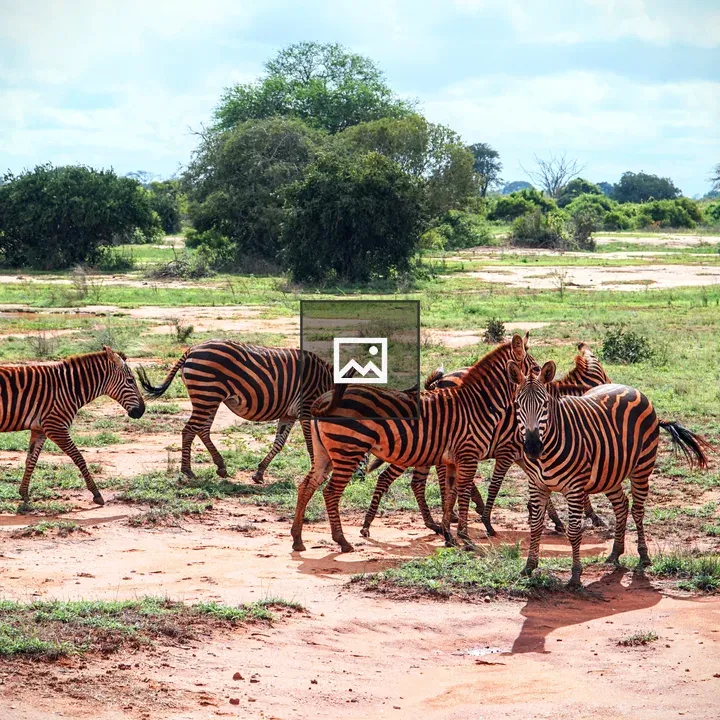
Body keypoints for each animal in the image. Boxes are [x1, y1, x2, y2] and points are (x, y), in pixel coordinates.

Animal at [0, 346, 145, 506]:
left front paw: (24, 494)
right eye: (130, 381)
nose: (142, 411)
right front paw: (96, 493)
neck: (68, 389)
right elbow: (79, 458)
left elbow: (31, 460)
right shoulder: (55, 427)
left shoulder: (39, 429)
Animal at [137, 341, 332, 482]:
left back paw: (220, 467)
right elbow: (311, 444)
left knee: (202, 429)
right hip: (207, 395)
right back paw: (188, 471)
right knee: (189, 430)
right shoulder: (306, 408)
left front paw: (259, 473)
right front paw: (317, 473)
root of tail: (192, 349)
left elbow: (279, 443)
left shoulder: (288, 414)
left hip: (208, 398)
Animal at [291, 334, 536, 553]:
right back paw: (342, 541)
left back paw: (297, 539)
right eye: (535, 368)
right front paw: (465, 538)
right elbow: (463, 493)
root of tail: (323, 400)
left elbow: (450, 495)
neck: (479, 404)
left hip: (325, 453)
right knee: (330, 492)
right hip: (348, 450)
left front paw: (449, 536)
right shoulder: (469, 456)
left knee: (306, 486)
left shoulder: (453, 460)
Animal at [361, 342, 610, 538]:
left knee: (420, 481)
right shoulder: (508, 451)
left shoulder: (525, 455)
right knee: (390, 478)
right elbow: (496, 484)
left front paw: (553, 517)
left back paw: (442, 519)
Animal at [509, 359, 711, 586]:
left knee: (637, 510)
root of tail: (632, 389)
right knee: (621, 505)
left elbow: (574, 531)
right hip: (610, 472)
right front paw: (529, 567)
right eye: (517, 405)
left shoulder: (575, 488)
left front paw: (576, 575)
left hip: (642, 468)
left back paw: (643, 556)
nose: (533, 448)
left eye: (544, 405)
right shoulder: (536, 484)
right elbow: (535, 526)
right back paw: (615, 552)